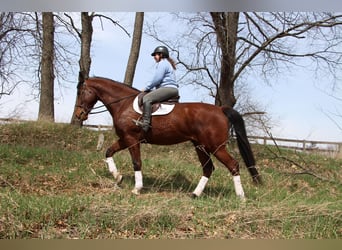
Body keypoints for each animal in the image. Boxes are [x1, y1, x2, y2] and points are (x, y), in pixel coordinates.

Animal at [75, 75, 262, 199]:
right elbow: (108, 152)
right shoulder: (125, 139)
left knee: (233, 165)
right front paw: (118, 177)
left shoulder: (132, 140)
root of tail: (221, 109)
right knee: (208, 169)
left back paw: (241, 197)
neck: (123, 104)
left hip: (216, 147)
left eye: (82, 92)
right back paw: (194, 194)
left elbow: (136, 163)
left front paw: (137, 188)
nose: (78, 115)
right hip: (200, 146)